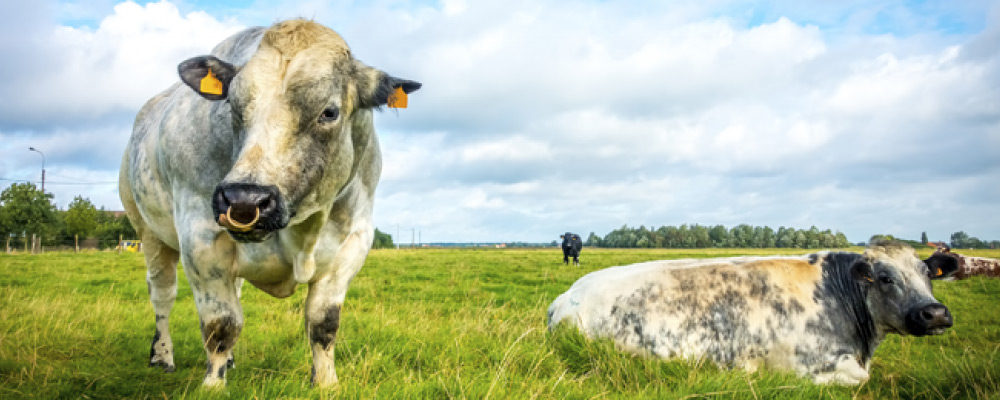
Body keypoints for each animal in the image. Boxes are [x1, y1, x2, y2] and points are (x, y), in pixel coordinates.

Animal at [119, 19, 420, 387]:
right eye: (233, 108)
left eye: (329, 112)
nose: (243, 199)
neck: (303, 231)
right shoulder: (200, 238)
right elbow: (221, 324)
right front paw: (213, 386)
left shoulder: (352, 243)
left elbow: (323, 324)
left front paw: (326, 382)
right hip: (148, 232)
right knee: (162, 294)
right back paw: (162, 356)